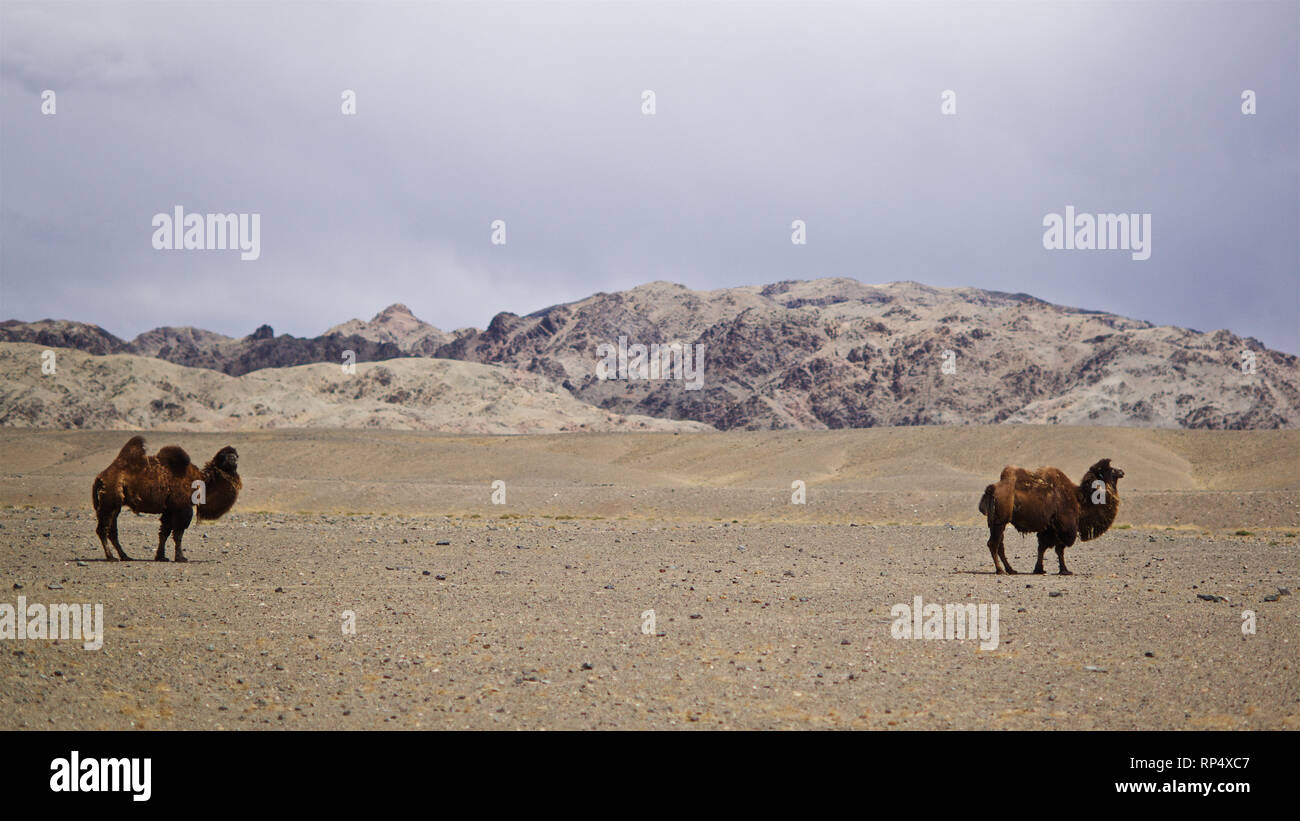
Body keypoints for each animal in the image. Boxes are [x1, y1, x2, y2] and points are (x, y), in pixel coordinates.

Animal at [91, 436, 241, 563]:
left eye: (236, 455)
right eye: (222, 456)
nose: (232, 459)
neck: (202, 481)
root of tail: (100, 477)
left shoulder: (170, 509)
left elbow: (164, 532)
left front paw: (161, 557)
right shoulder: (182, 508)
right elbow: (178, 534)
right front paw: (181, 558)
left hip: (115, 505)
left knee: (112, 530)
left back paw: (125, 556)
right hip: (109, 501)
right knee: (103, 529)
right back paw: (111, 557)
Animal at [977, 454, 1123, 576]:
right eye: (1110, 470)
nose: (1121, 471)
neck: (1079, 498)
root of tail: (991, 489)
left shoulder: (1048, 528)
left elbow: (1042, 547)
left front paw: (1039, 569)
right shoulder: (1064, 528)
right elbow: (1059, 549)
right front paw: (1065, 571)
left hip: (998, 522)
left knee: (999, 545)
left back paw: (1011, 570)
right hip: (999, 521)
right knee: (993, 544)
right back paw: (1000, 570)